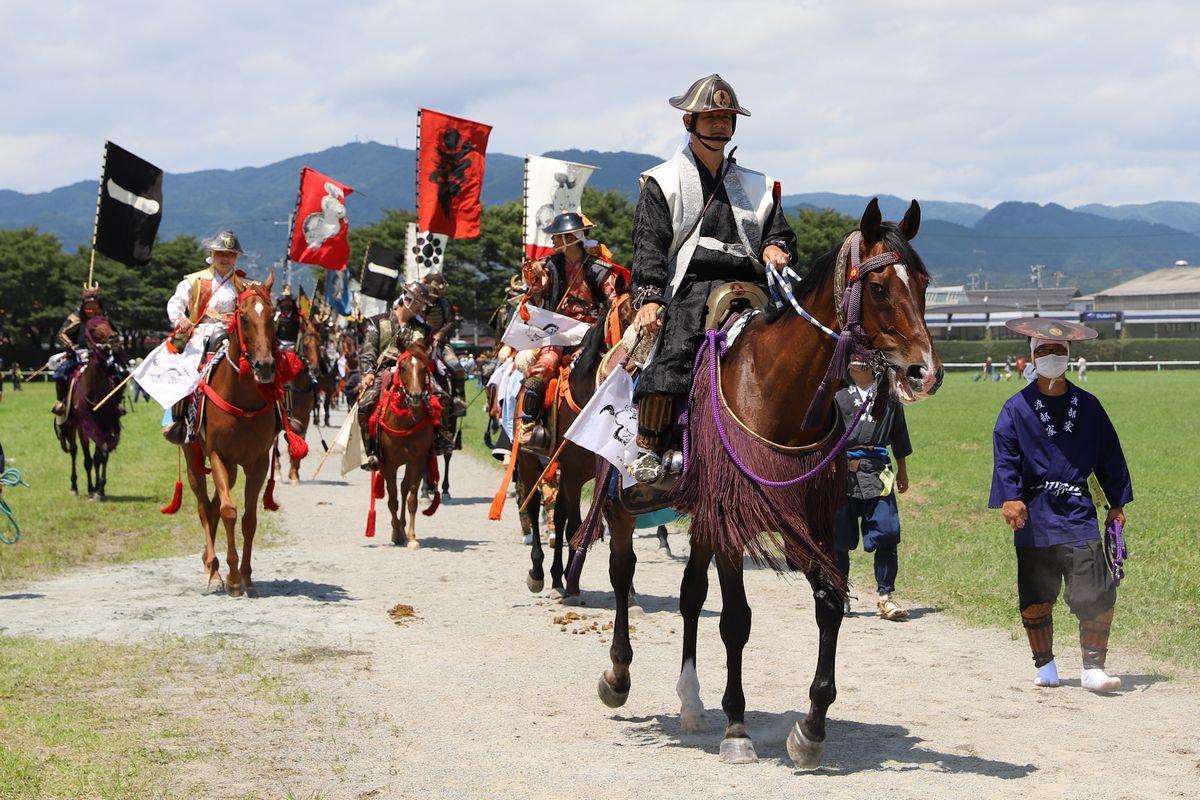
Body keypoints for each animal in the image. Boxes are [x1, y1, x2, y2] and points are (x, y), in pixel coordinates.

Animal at [57, 316, 123, 501]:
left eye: (109, 324)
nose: (113, 337)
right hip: (71, 426)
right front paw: (92, 489)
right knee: (74, 451)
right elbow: (87, 459)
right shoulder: (83, 428)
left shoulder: (106, 425)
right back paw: (74, 486)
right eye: (93, 329)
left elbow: (101, 456)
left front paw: (101, 490)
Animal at [184, 273, 280, 594]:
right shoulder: (218, 455)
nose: (265, 366)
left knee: (213, 507)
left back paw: (210, 561)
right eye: (245, 317)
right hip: (193, 457)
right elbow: (228, 511)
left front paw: (246, 576)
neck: (242, 397)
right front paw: (233, 577)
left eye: (272, 316)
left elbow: (249, 519)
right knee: (205, 507)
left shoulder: (257, 461)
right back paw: (213, 571)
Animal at [372, 340, 444, 546]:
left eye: (424, 368)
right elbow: (392, 499)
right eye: (403, 367)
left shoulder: (417, 460)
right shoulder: (389, 463)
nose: (415, 396)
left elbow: (411, 498)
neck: (404, 422)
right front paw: (397, 533)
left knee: (404, 488)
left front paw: (411, 537)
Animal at [585, 200, 940, 767]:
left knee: (690, 595)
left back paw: (690, 702)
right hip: (624, 500)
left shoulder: (815, 517)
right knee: (623, 575)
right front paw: (737, 729)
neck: (778, 388)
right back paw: (618, 676)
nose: (923, 373)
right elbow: (736, 620)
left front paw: (811, 730)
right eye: (881, 287)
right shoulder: (736, 517)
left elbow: (829, 605)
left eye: (925, 284)